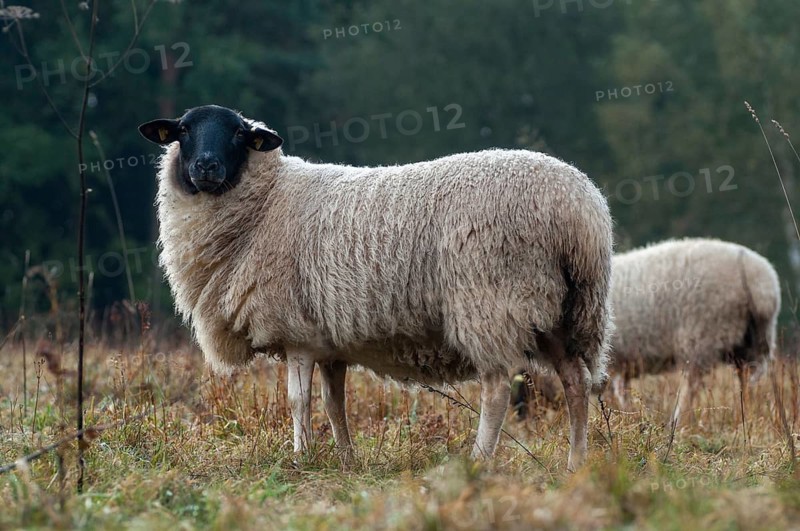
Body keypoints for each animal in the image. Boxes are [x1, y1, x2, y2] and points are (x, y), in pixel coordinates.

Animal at [138, 104, 614, 470]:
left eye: (238, 133)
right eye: (183, 131)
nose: (206, 166)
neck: (268, 202)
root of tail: (579, 210)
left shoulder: (296, 333)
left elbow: (298, 400)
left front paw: (301, 457)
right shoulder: (328, 341)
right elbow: (334, 402)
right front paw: (346, 459)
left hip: (490, 299)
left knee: (497, 386)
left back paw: (479, 459)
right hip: (563, 310)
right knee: (575, 382)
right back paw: (576, 463)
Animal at [511, 238, 780, 427]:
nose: (519, 417)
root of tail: (759, 283)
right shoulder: (621, 364)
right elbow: (621, 392)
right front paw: (629, 415)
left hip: (701, 336)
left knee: (691, 385)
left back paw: (677, 421)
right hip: (752, 342)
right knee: (747, 379)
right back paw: (745, 410)